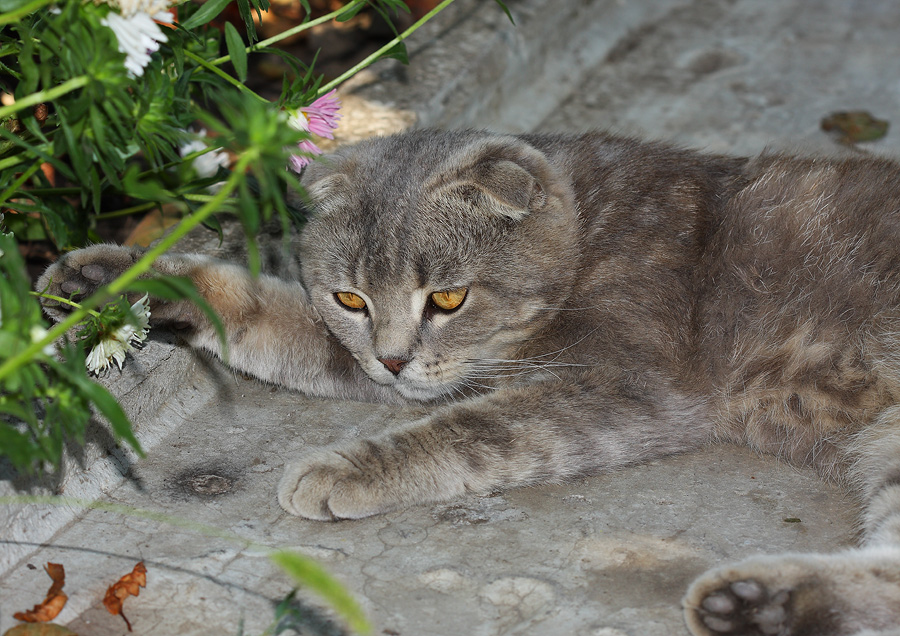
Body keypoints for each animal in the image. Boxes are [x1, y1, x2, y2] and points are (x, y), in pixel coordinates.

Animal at [37, 130, 900, 636]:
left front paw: (345, 469)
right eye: (351, 299)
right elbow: (260, 310)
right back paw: (757, 604)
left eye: (447, 299)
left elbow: (473, 430)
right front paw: (110, 278)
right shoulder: (371, 360)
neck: (591, 229)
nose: (393, 358)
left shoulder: (619, 388)